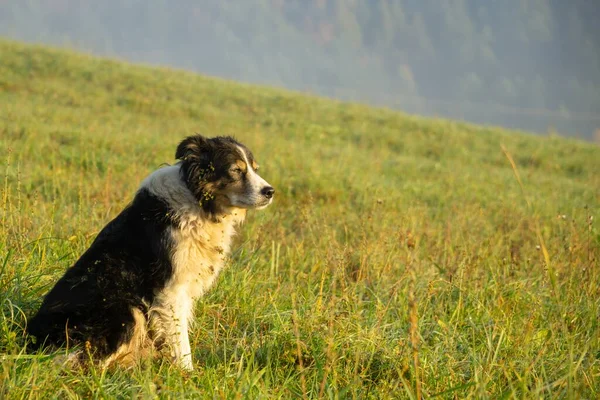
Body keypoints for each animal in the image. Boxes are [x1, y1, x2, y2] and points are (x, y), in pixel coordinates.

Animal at [25, 134, 274, 368]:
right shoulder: (170, 290)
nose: (270, 191)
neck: (198, 201)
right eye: (236, 170)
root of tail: (32, 340)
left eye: (255, 168)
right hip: (124, 310)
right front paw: (187, 374)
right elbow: (180, 341)